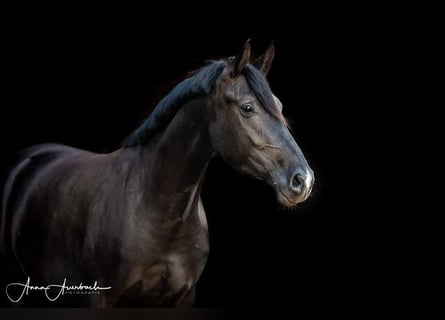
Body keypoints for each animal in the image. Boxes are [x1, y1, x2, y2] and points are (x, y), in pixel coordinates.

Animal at [0, 40, 312, 308]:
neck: (156, 211)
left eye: (280, 107)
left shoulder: (183, 296)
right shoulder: (100, 297)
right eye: (247, 108)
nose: (303, 180)